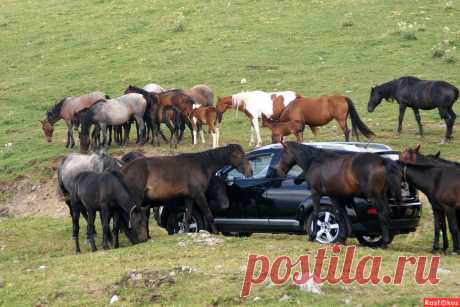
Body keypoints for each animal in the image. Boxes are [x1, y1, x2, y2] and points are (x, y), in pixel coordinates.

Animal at [120, 144, 253, 236]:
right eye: (237, 155)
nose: (250, 172)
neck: (201, 165)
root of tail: (123, 169)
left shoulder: (189, 197)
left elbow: (188, 217)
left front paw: (185, 231)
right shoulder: (199, 194)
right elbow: (208, 213)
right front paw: (215, 231)